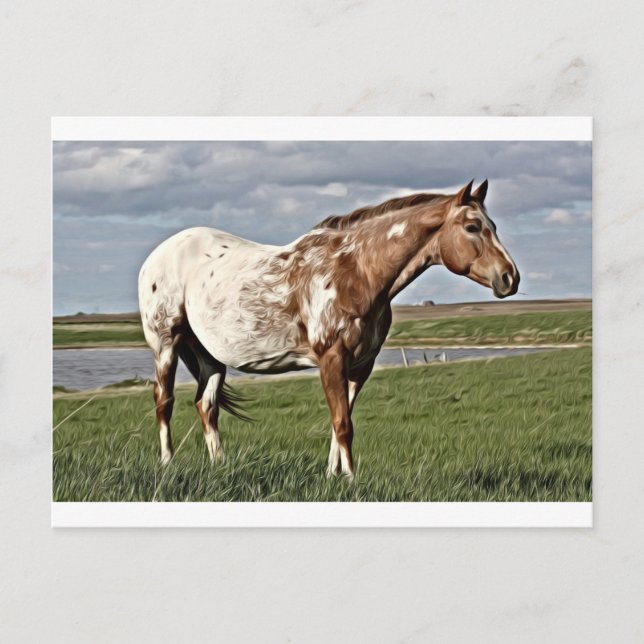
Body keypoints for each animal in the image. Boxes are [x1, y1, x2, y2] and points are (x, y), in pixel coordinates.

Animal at [138, 179, 519, 477]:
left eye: (493, 225)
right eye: (472, 228)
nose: (509, 278)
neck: (355, 271)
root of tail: (156, 257)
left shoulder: (360, 366)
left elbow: (341, 421)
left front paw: (334, 476)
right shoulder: (331, 359)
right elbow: (342, 424)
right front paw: (350, 479)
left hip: (211, 356)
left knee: (207, 407)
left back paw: (220, 465)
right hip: (165, 345)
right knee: (164, 401)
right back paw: (168, 464)